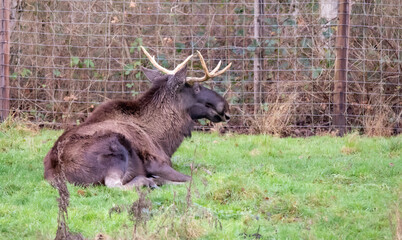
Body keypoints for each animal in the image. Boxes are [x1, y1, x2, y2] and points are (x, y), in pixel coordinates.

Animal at [43, 47, 232, 189]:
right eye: (197, 88)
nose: (225, 107)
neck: (165, 140)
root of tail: (55, 174)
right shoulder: (157, 162)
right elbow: (195, 177)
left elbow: (203, 169)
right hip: (115, 147)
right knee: (115, 185)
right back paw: (149, 181)